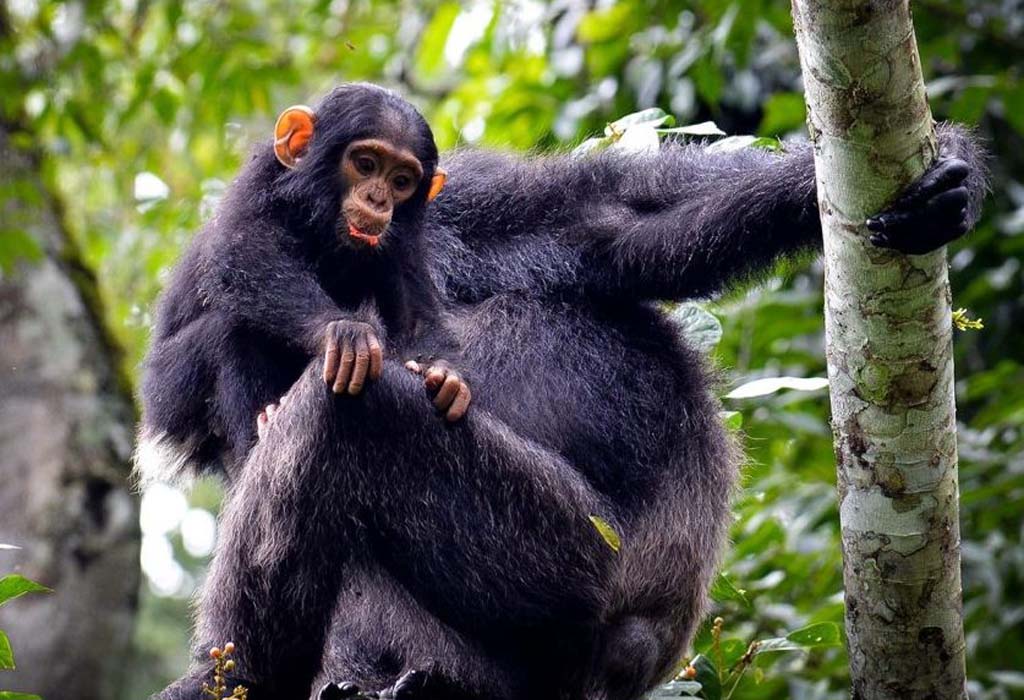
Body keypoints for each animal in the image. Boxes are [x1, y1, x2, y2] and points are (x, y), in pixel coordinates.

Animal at [145, 83, 987, 700]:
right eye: (362, 164)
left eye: (399, 177)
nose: (378, 203)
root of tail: (628, 660)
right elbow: (205, 329)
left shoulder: (463, 205)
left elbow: (612, 219)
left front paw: (941, 170)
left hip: (560, 568)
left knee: (348, 414)